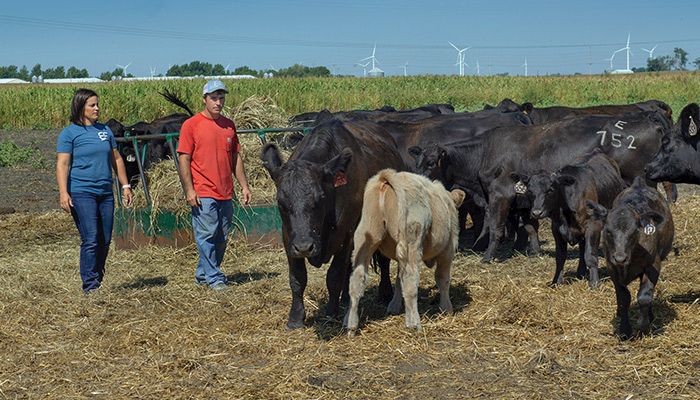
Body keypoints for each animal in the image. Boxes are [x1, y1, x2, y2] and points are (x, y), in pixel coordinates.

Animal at [262, 117, 404, 330]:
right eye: (281, 202)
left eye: (320, 198)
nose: (304, 247)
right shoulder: (288, 237)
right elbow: (297, 278)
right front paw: (295, 318)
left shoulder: (345, 234)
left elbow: (334, 275)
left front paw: (331, 312)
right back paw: (345, 298)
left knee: (383, 260)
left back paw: (384, 292)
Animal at [344, 167, 464, 332]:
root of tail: (387, 178)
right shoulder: (448, 251)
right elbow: (442, 279)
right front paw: (446, 309)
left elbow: (398, 280)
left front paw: (394, 307)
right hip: (411, 244)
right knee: (410, 281)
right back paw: (414, 323)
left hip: (365, 238)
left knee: (356, 280)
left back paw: (351, 325)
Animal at [516, 150, 628, 288]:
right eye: (530, 191)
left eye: (550, 190)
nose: (537, 212)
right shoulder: (556, 229)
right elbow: (560, 257)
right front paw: (556, 282)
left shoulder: (593, 225)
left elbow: (590, 255)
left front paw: (594, 283)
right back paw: (580, 272)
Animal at [588, 177, 676, 340]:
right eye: (608, 231)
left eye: (635, 231)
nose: (620, 258)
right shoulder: (612, 268)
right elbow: (623, 298)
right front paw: (624, 330)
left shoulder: (653, 265)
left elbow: (644, 296)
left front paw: (643, 326)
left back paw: (650, 315)